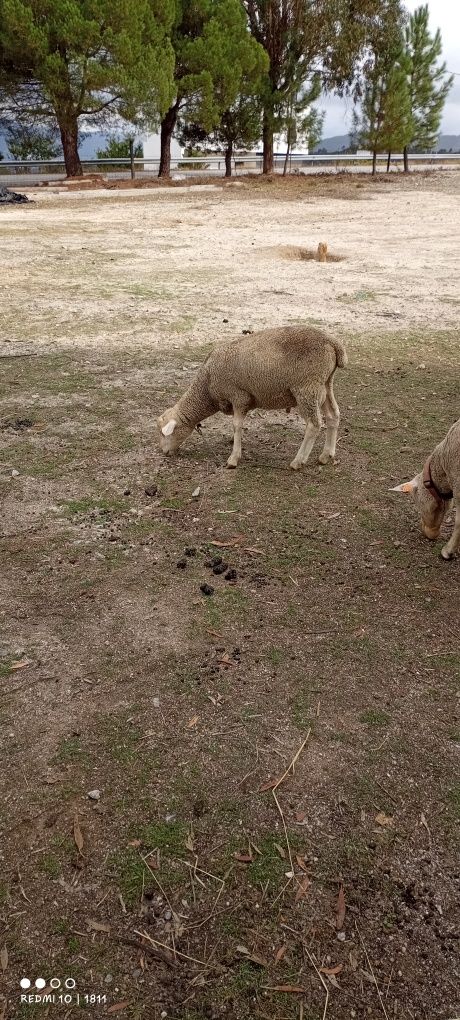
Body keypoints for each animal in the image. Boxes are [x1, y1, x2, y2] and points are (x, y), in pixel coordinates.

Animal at [157, 326, 346, 469]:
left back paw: (298, 461)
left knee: (314, 425)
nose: (164, 452)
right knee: (333, 415)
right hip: (325, 384)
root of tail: (334, 344)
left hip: (307, 387)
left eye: (163, 434)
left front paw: (233, 458)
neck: (207, 386)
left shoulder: (239, 396)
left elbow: (236, 425)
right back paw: (326, 455)